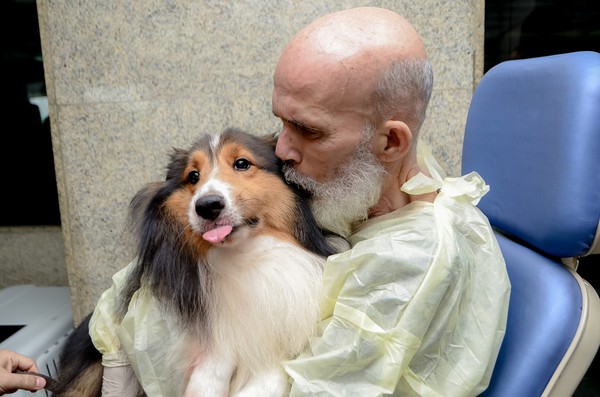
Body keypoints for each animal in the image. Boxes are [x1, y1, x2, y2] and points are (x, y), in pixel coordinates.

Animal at [54, 127, 340, 396]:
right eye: (193, 176)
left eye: (242, 163)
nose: (207, 205)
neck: (241, 257)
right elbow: (215, 359)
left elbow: (273, 371)